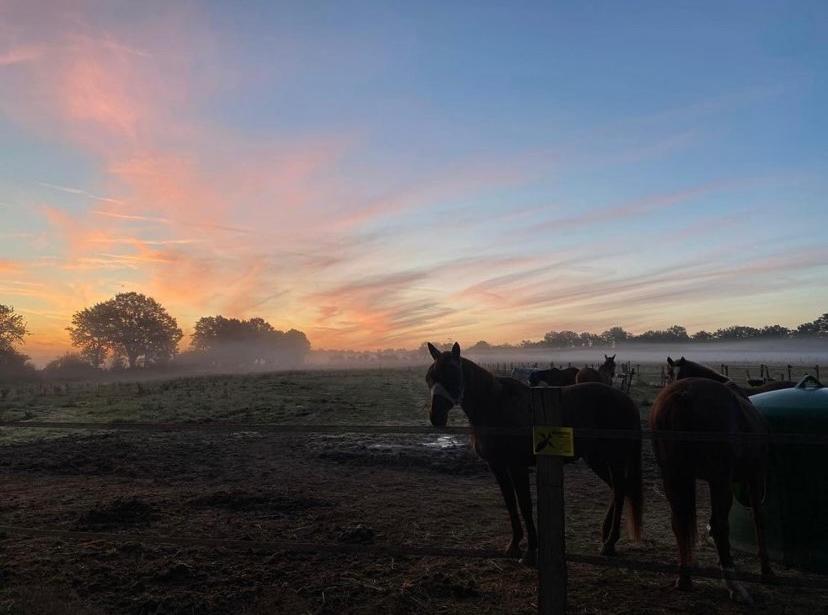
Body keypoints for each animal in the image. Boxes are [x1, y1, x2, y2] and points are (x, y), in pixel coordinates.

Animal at [424, 344, 644, 564]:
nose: (436, 417)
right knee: (617, 489)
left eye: (453, 374)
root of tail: (626, 400)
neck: (497, 407)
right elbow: (510, 503)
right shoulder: (497, 466)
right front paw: (514, 544)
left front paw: (530, 550)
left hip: (615, 459)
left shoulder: (517, 465)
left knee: (620, 489)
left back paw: (610, 542)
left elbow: (524, 504)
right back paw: (606, 535)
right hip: (596, 458)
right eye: (430, 377)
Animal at [652, 356, 776, 600]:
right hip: (720, 481)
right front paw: (766, 571)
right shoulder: (754, 475)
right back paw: (735, 586)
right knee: (720, 526)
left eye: (669, 376)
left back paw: (684, 578)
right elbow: (759, 518)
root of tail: (684, 395)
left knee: (678, 522)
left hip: (673, 476)